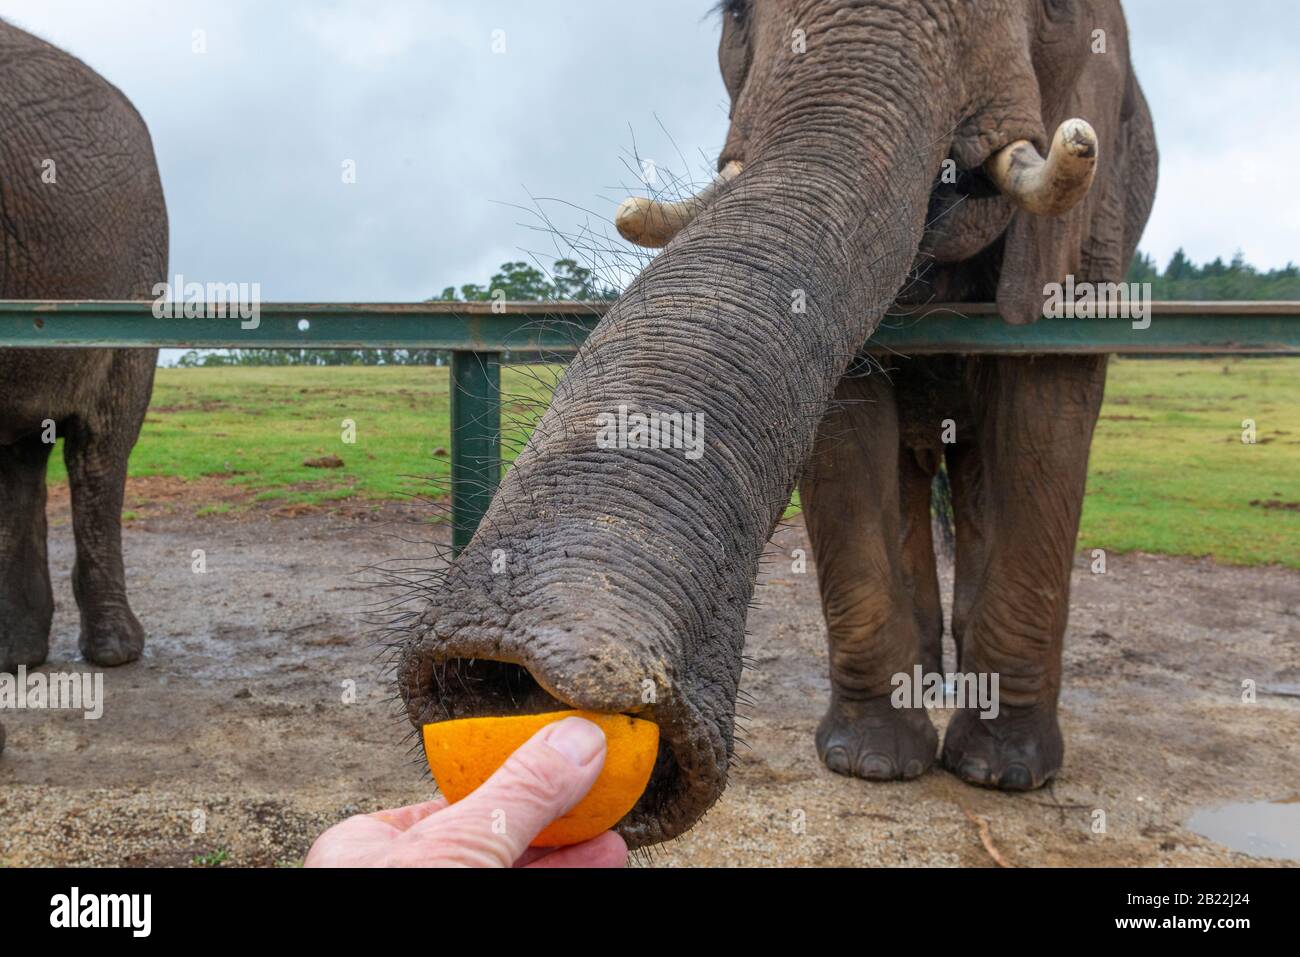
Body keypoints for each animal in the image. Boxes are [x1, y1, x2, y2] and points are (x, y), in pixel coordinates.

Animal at [395, 0, 1159, 847]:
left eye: (1055, 11)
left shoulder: (1094, 223)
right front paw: (871, 764)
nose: (514, 660)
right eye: (734, 16)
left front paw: (1006, 773)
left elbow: (1044, 412)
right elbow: (845, 433)